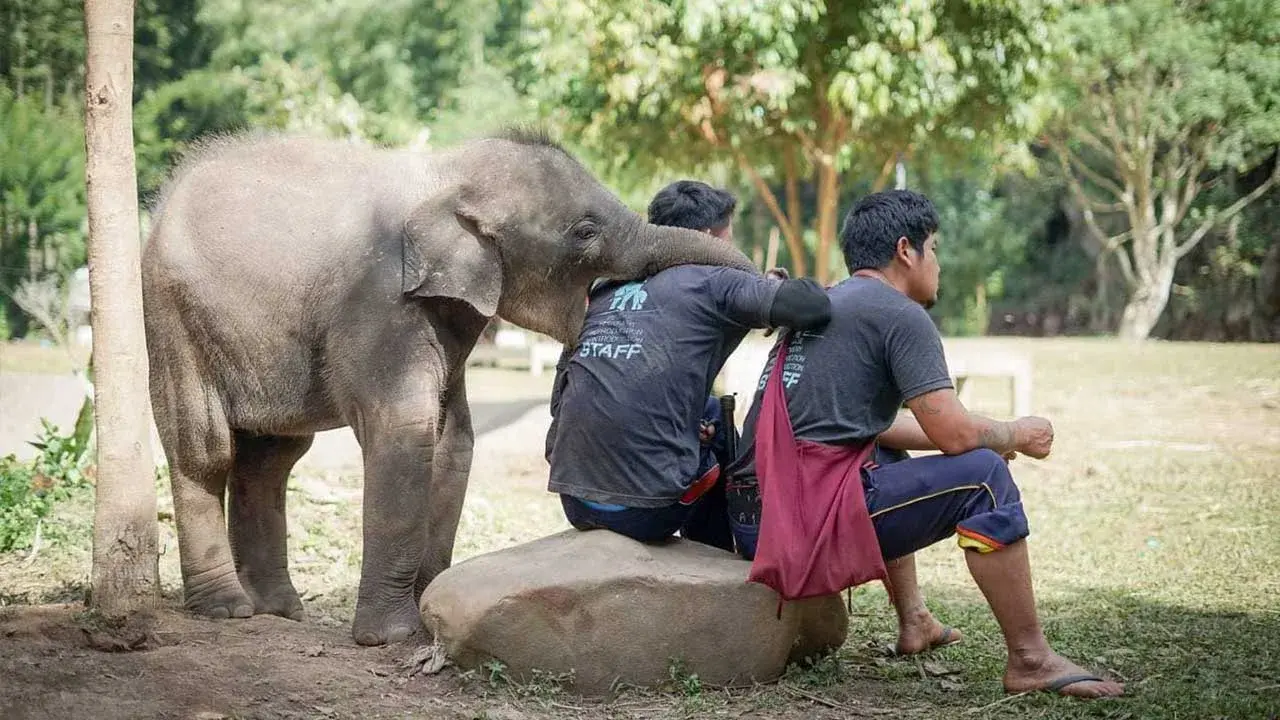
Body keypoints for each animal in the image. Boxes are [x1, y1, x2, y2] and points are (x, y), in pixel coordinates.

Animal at [140, 130, 760, 646]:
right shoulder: (383, 304)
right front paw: (392, 638)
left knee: (272, 456)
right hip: (171, 316)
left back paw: (280, 610)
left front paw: (428, 616)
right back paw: (225, 609)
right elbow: (404, 433)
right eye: (585, 233)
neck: (447, 173)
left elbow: (453, 440)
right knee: (206, 450)